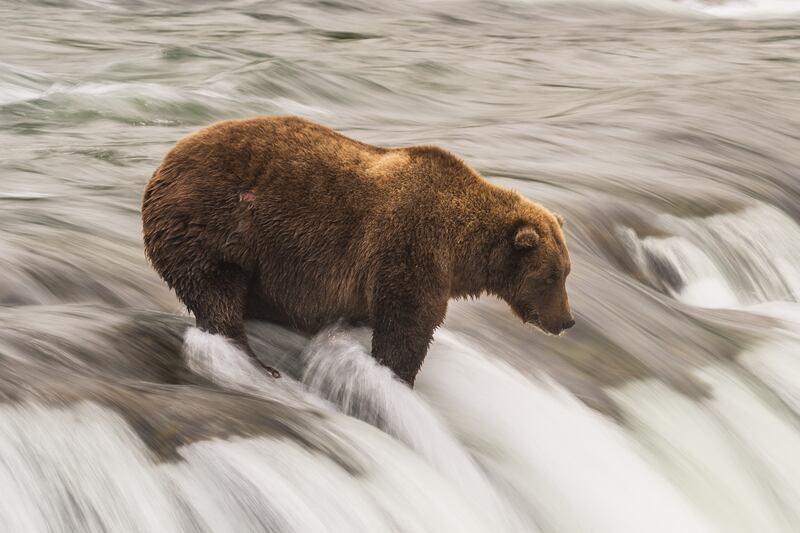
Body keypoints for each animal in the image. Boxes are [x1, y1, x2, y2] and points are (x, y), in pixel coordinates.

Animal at [141, 115, 572, 382]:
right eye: (551, 276)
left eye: (567, 272)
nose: (567, 321)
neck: (463, 252)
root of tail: (163, 163)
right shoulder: (412, 247)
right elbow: (407, 326)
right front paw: (396, 378)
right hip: (213, 223)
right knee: (217, 290)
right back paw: (257, 363)